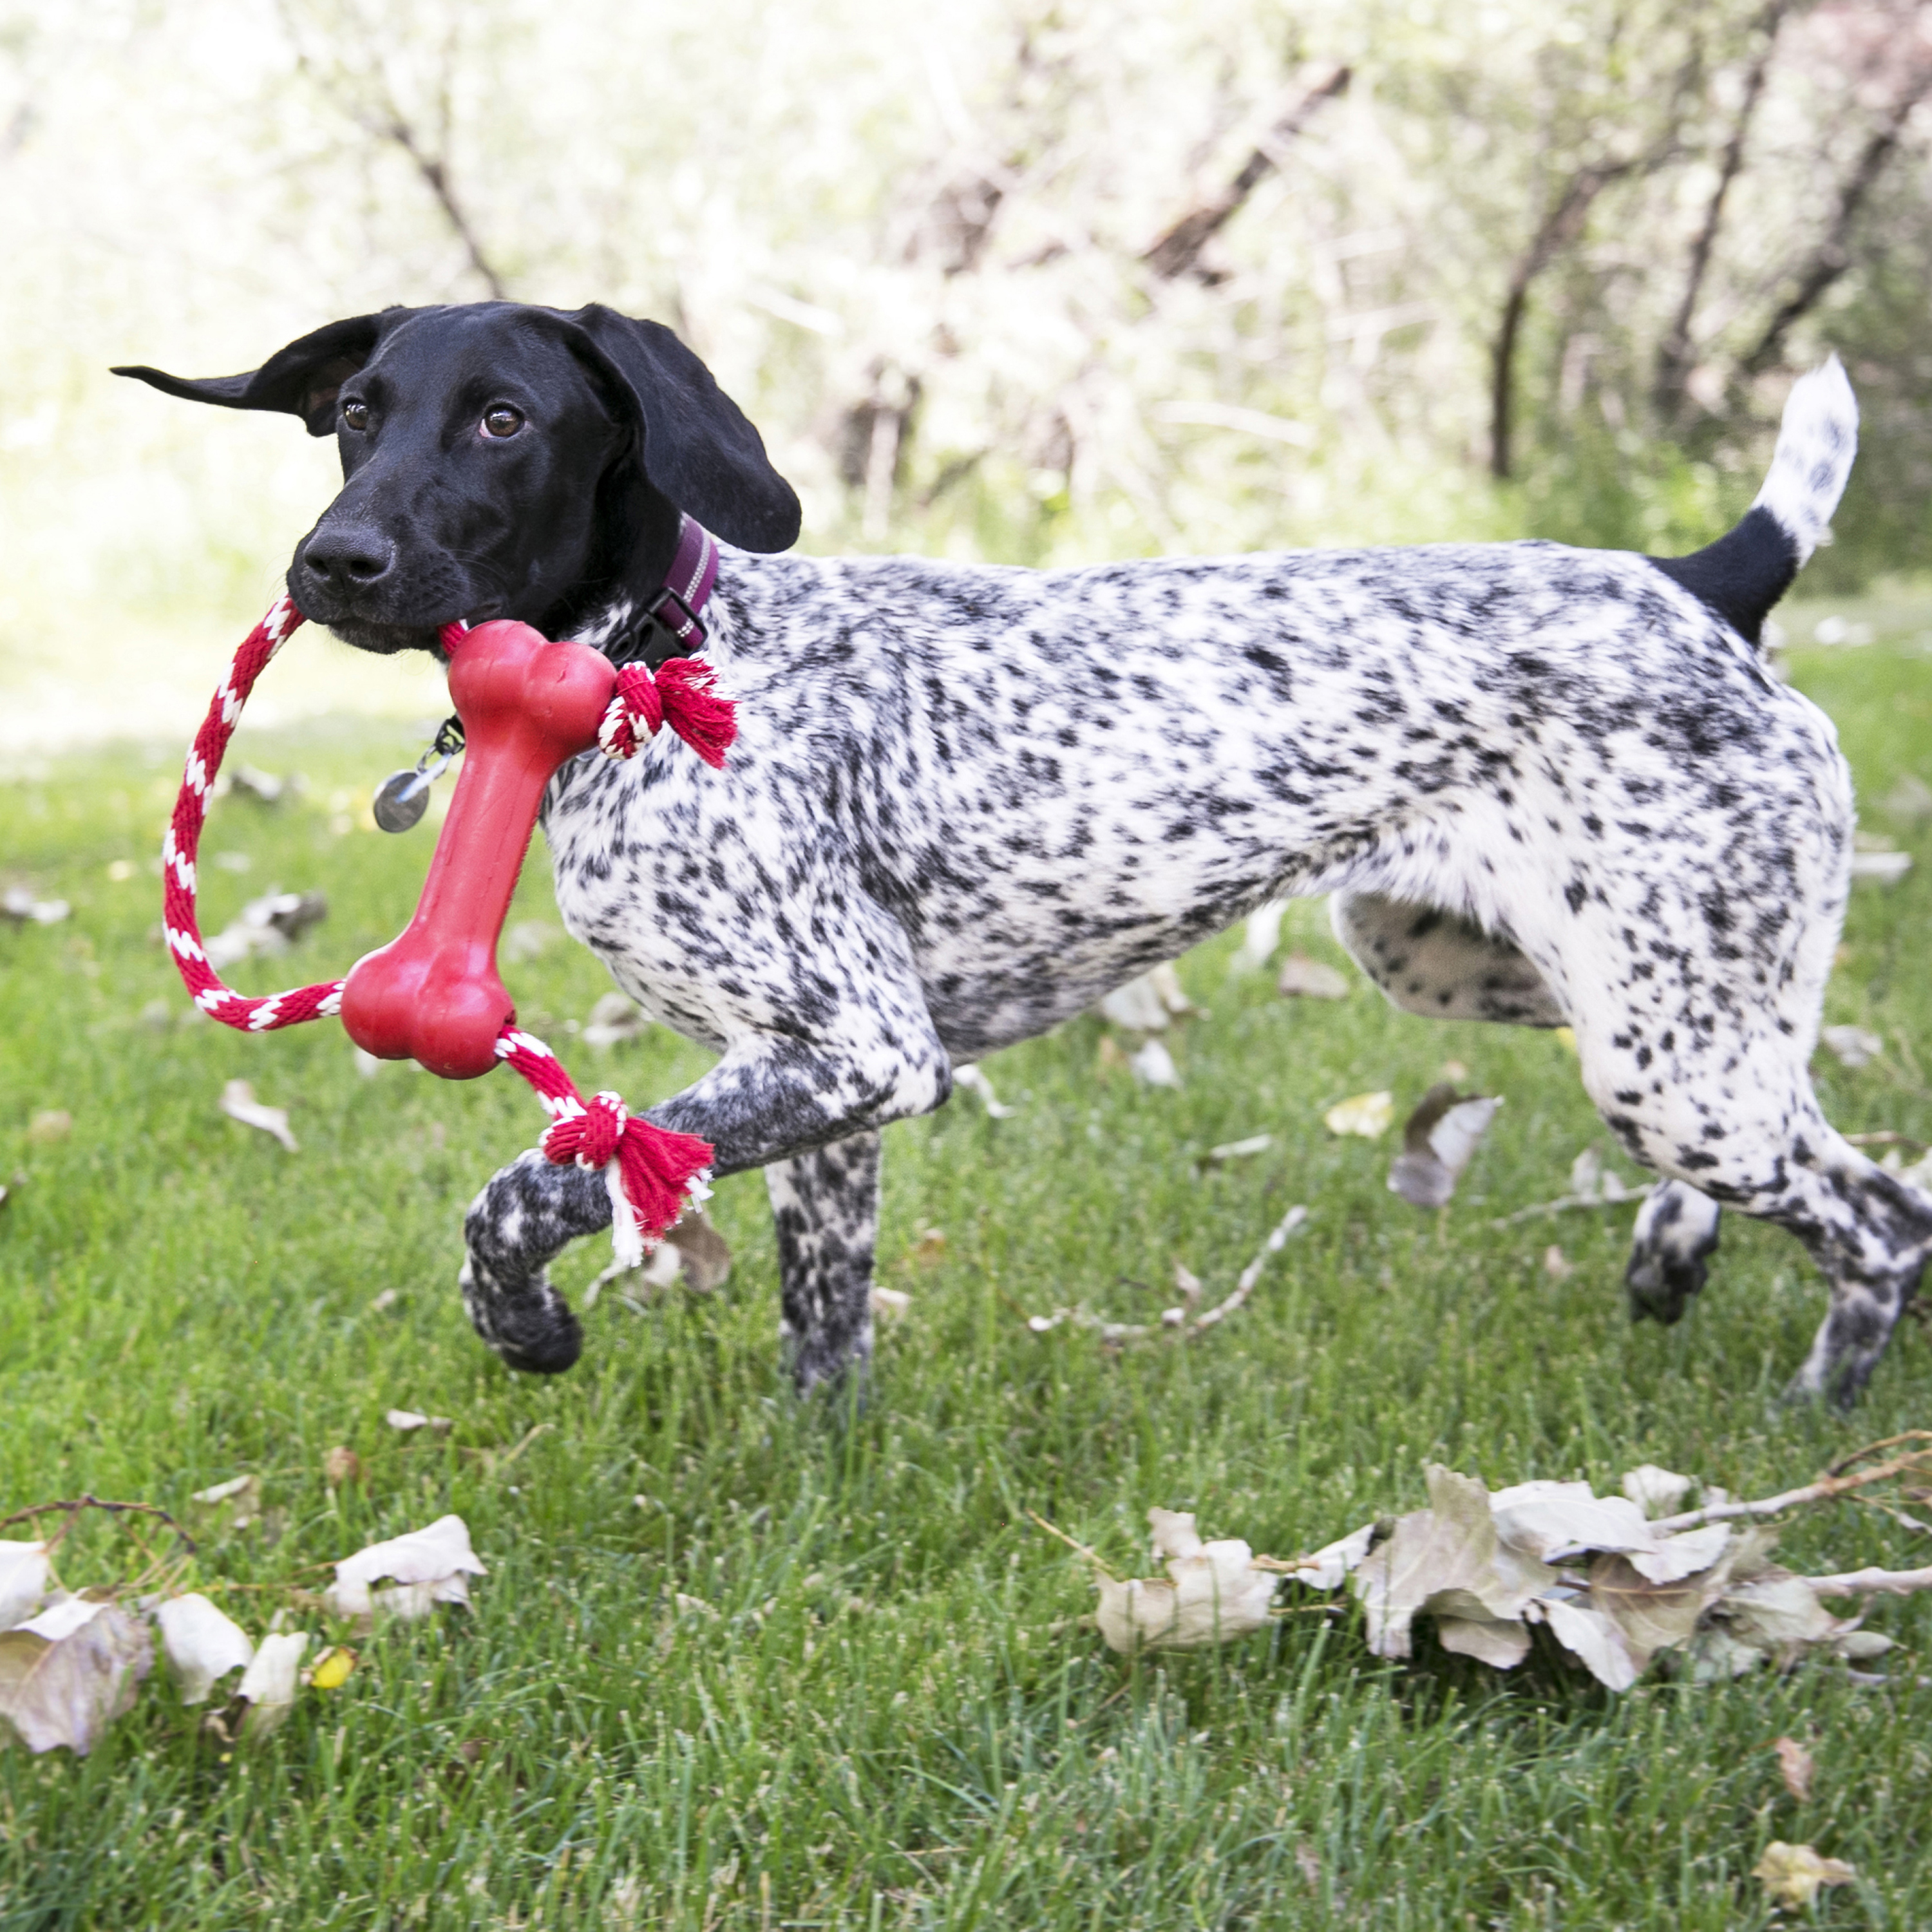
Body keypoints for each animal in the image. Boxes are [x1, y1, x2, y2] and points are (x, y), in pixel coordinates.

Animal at [113, 298, 1924, 1406]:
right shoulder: (818, 1086)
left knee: (1885, 1215)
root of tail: (1700, 578)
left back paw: (1813, 1413)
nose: (331, 560)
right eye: (354, 414)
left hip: (1666, 1048)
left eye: (500, 420)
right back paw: (1673, 1256)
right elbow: (823, 1325)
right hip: (1556, 983)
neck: (671, 663)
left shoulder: (857, 1049)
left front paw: (529, 1321)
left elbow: (528, 1186)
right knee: (1816, 1138)